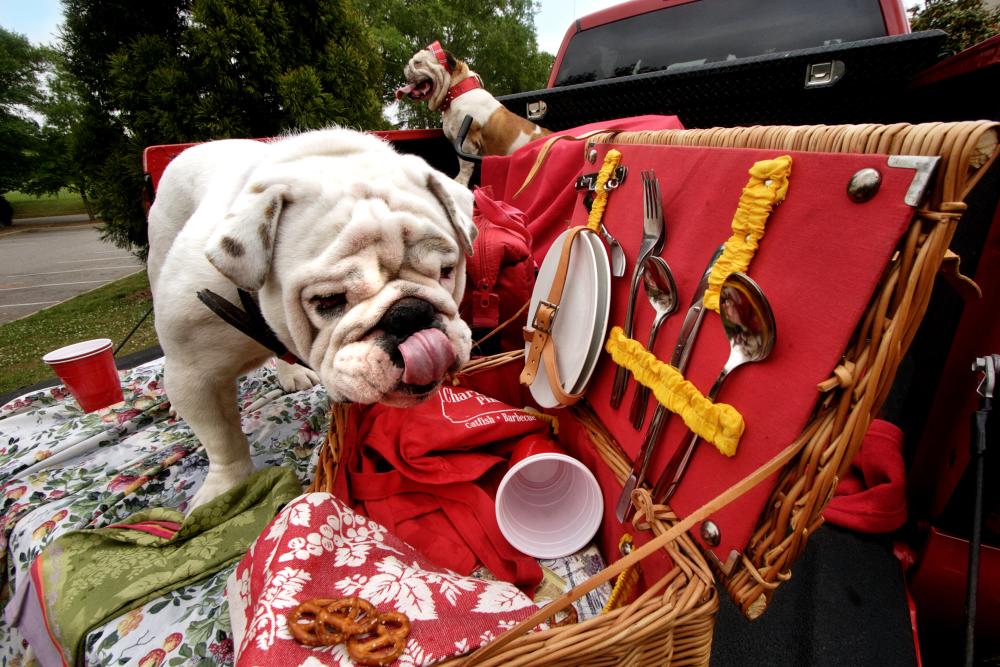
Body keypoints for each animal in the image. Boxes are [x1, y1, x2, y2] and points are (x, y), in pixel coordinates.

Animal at [394, 41, 552, 188]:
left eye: (418, 62)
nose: (406, 66)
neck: (456, 91)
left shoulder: (468, 141)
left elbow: (465, 164)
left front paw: (460, 181)